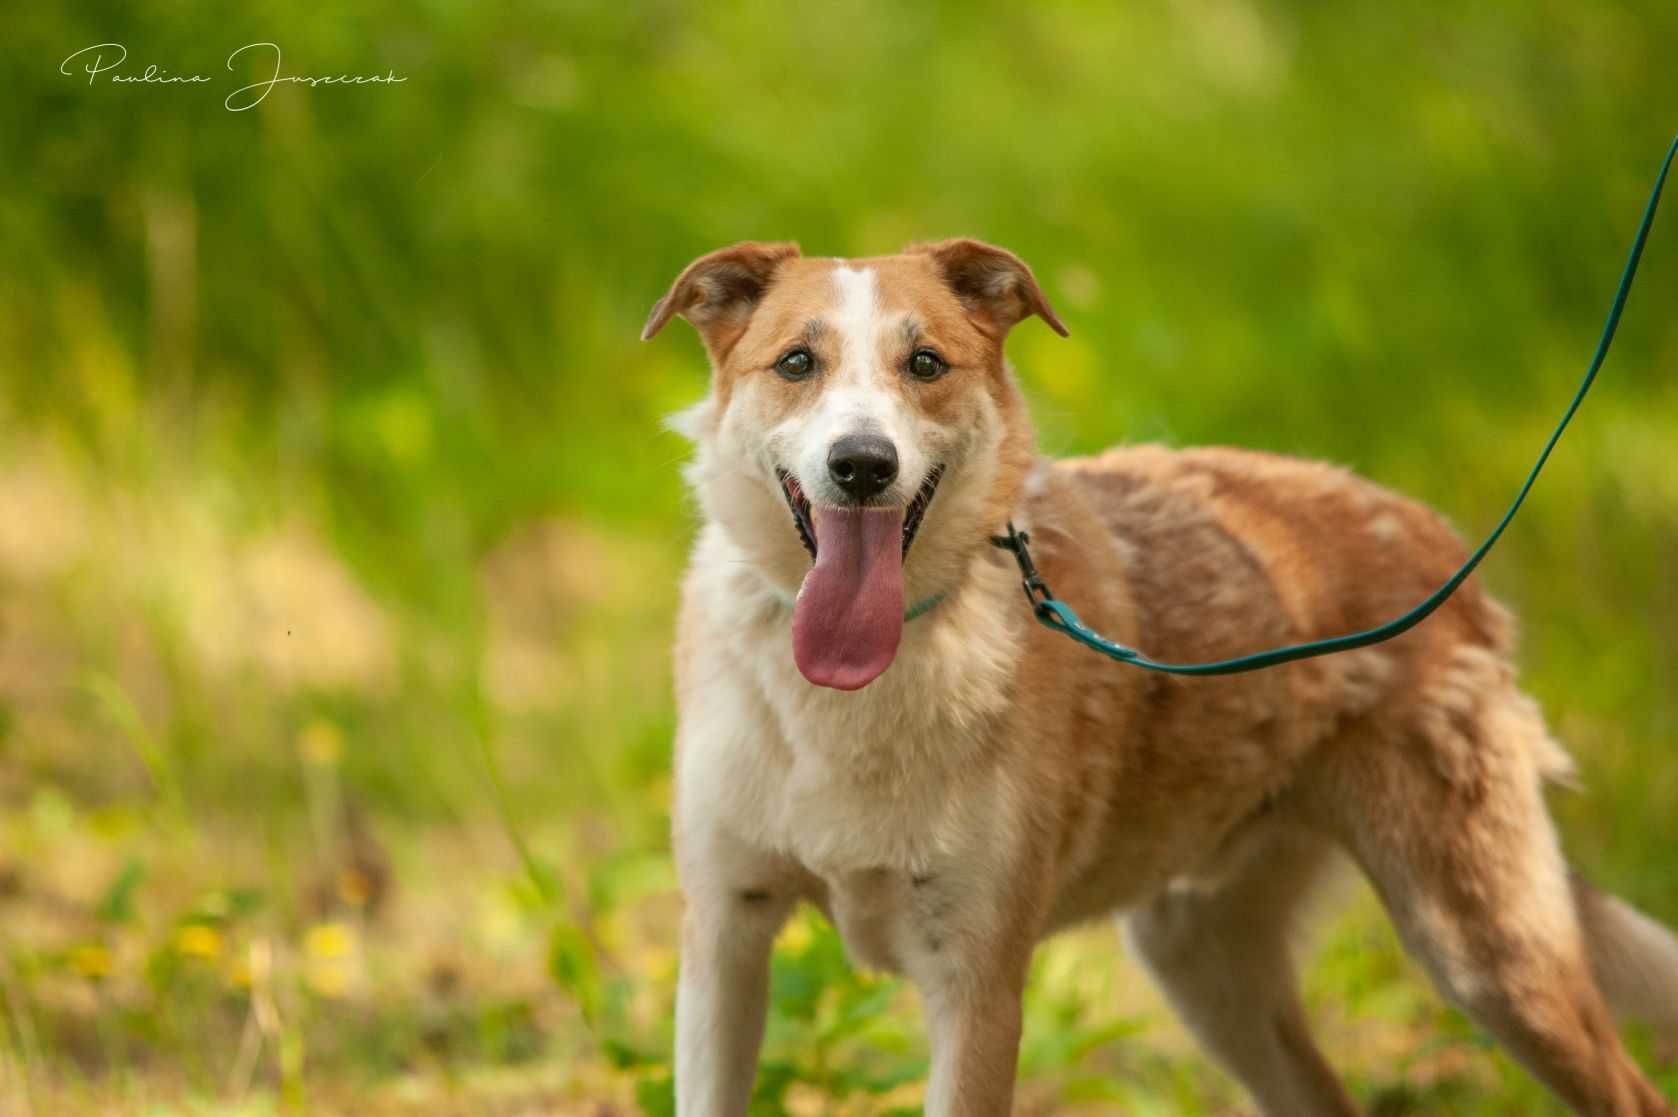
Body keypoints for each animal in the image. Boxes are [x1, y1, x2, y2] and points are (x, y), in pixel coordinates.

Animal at [637, 239, 1678, 1106]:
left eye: (925, 364)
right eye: (796, 363)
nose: (862, 465)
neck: (858, 683)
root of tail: (1444, 549)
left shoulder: (975, 985)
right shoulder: (724, 944)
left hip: (1484, 949)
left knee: (1627, 1090)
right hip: (1206, 963)